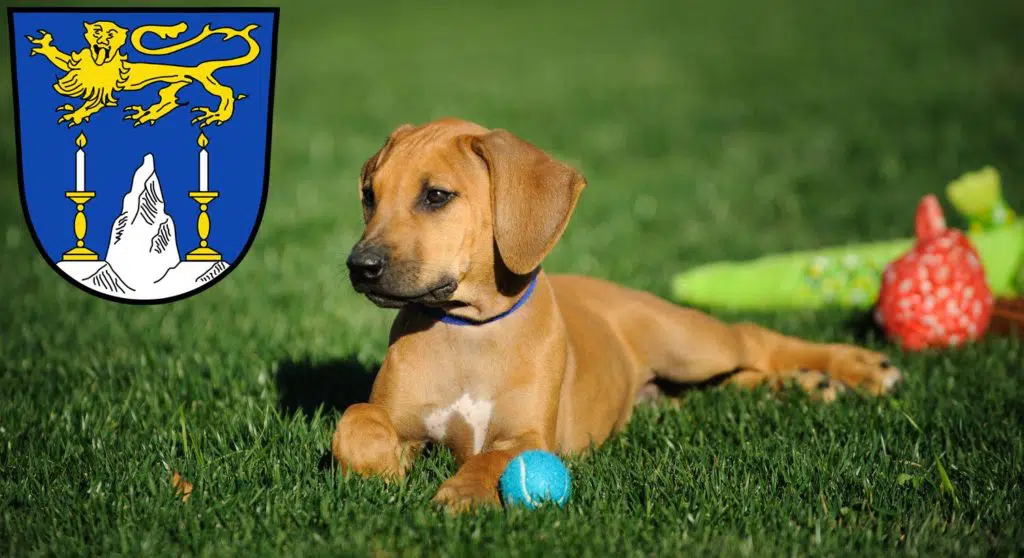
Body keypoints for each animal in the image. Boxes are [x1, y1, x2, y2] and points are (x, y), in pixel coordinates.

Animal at [25, 20, 260, 127]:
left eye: (111, 33)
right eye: (97, 31)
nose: (103, 39)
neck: (99, 65)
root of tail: (199, 66)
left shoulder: (103, 91)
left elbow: (92, 104)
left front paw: (76, 114)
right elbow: (65, 62)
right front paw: (45, 46)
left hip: (201, 82)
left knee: (226, 91)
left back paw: (218, 114)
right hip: (175, 84)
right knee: (168, 98)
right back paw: (147, 113)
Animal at [331, 117, 901, 509]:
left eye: (436, 196)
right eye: (369, 196)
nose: (360, 266)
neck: (467, 330)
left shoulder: (531, 434)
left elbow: (496, 456)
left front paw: (464, 493)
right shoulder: (396, 414)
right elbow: (355, 422)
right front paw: (383, 467)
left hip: (686, 342)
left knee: (753, 341)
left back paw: (860, 368)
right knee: (739, 380)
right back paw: (812, 386)